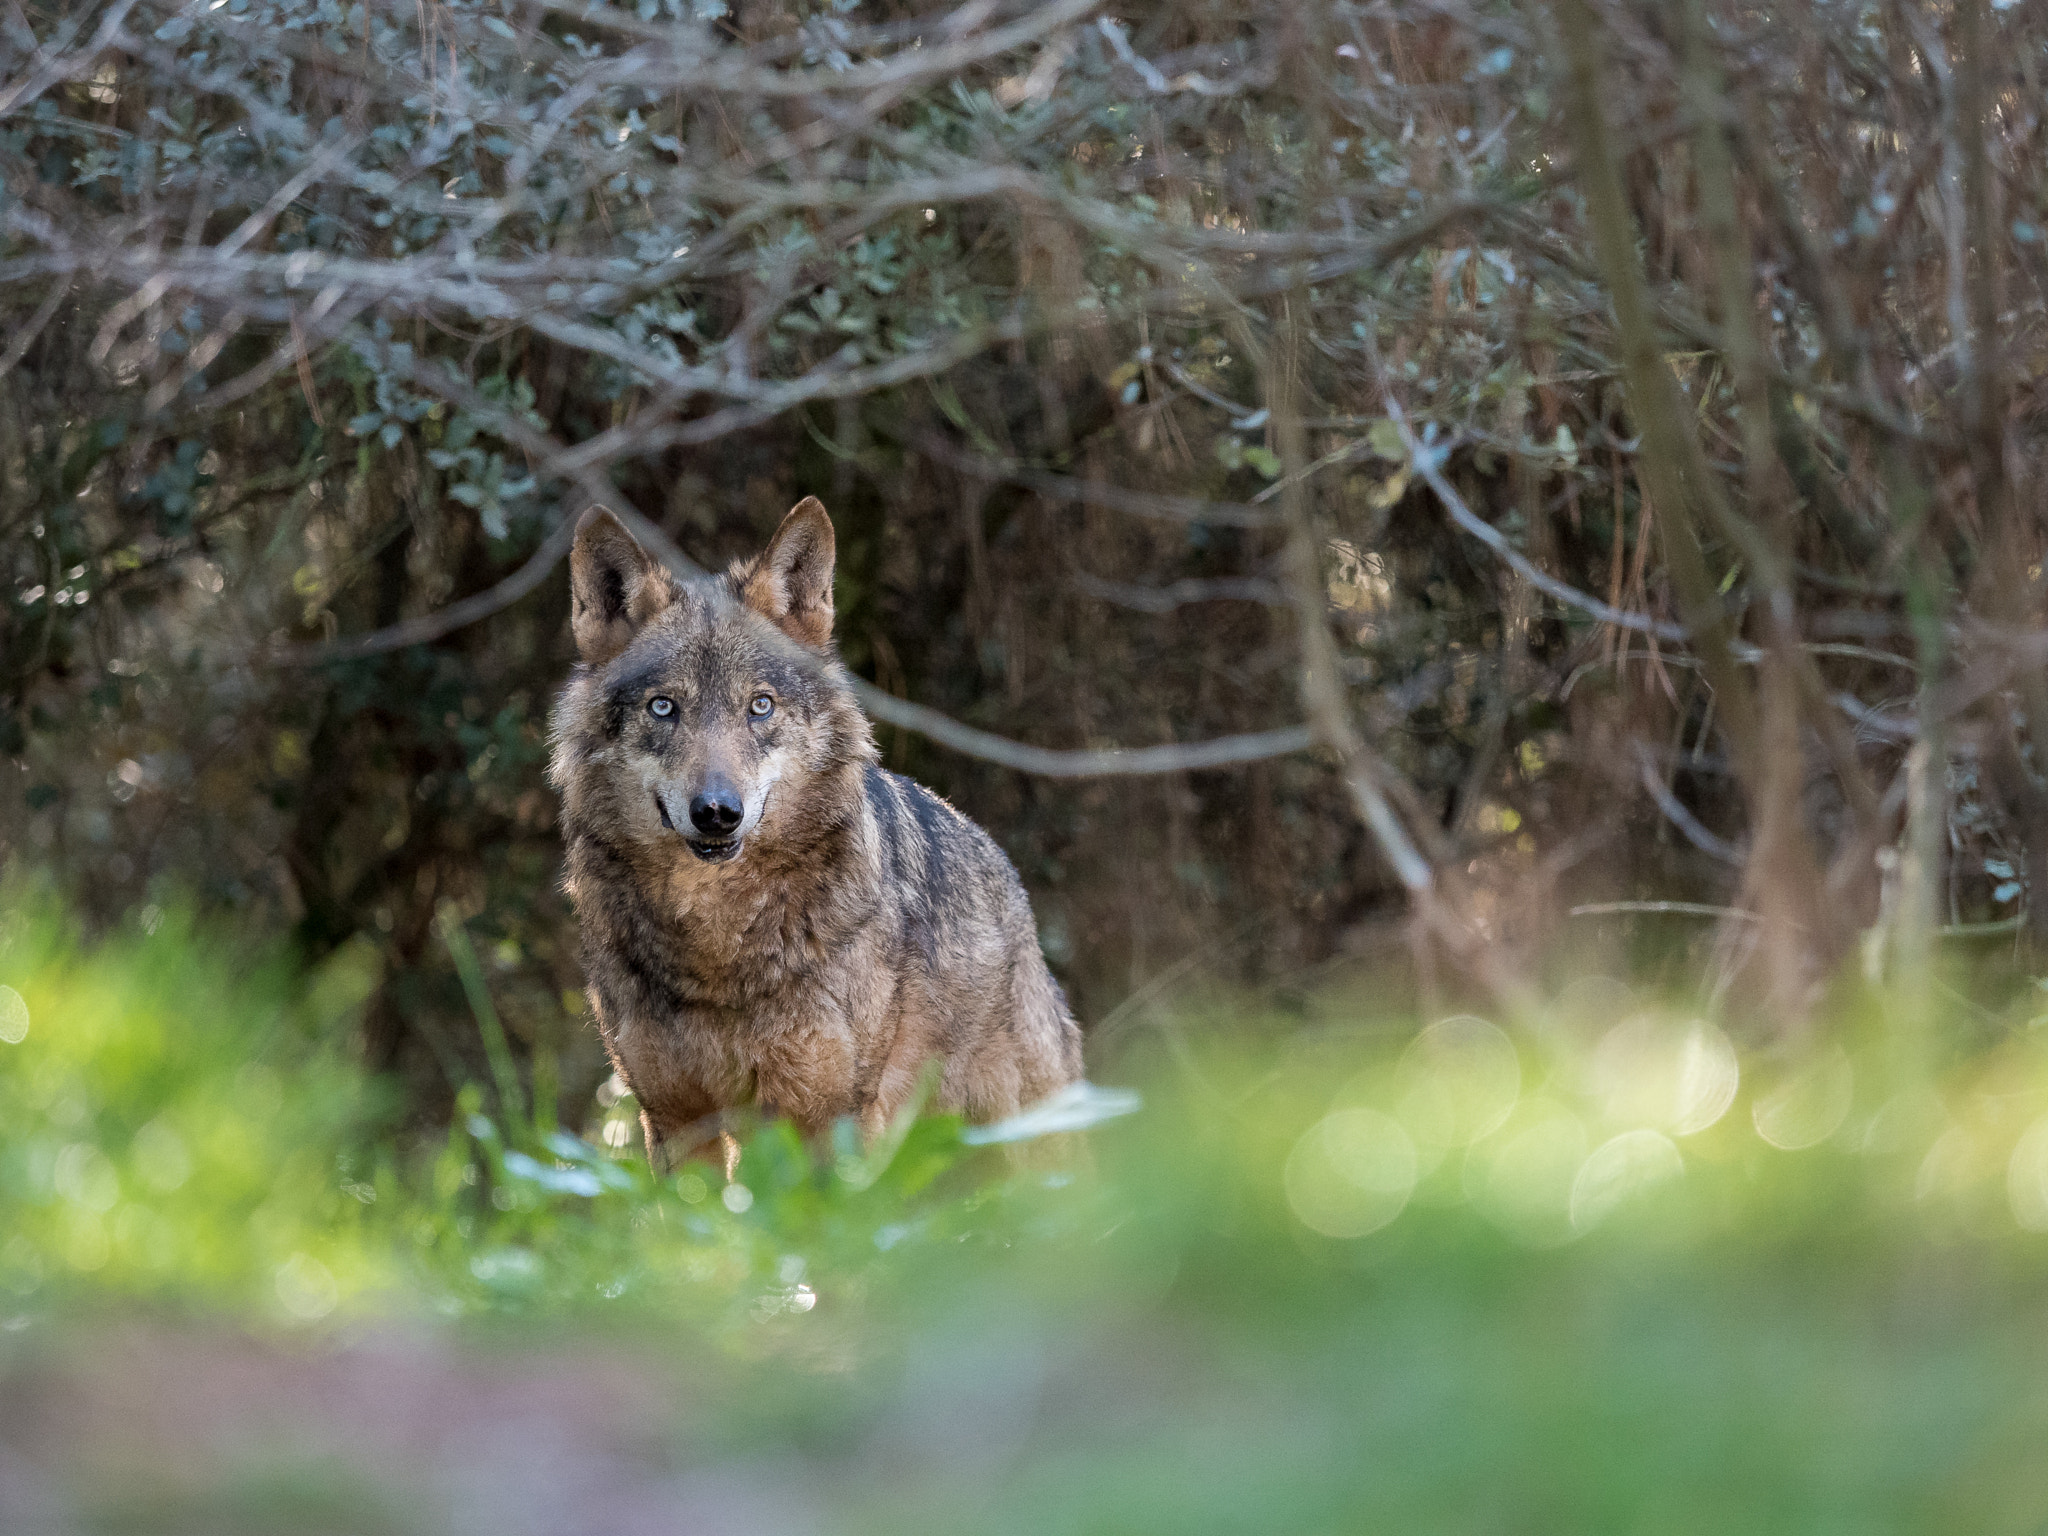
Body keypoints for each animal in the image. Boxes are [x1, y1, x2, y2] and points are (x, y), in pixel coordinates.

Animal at [544, 499, 1089, 1171]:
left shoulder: (829, 1114)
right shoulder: (675, 1120)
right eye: (664, 707)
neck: (716, 944)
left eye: (760, 706)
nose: (717, 812)